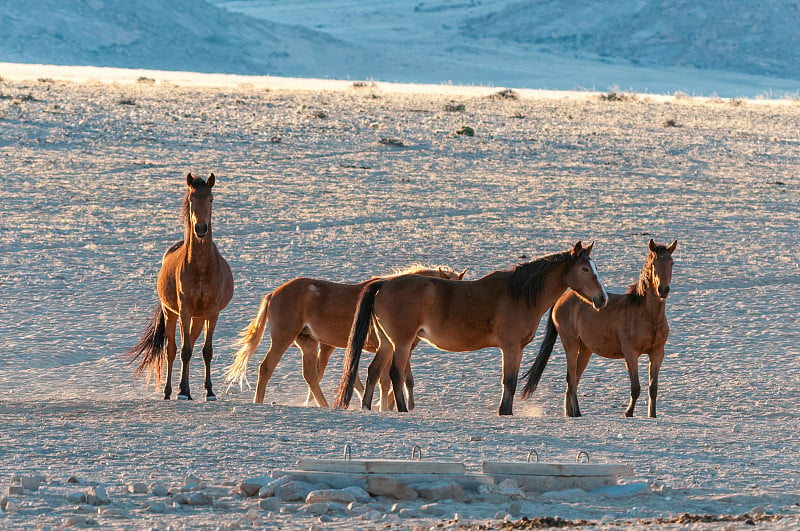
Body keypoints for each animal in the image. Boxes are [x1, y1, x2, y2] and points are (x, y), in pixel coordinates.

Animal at [127, 172, 234, 402]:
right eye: (191, 200)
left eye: (211, 199)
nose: (201, 229)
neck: (201, 267)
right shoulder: (184, 309)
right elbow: (183, 351)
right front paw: (183, 393)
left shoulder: (212, 312)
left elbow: (206, 351)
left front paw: (209, 391)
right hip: (172, 313)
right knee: (173, 350)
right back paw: (172, 391)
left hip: (198, 317)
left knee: (191, 344)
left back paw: (185, 388)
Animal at [222, 264, 466, 410]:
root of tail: (275, 293)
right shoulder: (396, 346)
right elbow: (388, 379)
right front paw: (386, 406)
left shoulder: (397, 347)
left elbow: (400, 378)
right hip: (283, 339)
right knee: (266, 368)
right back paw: (259, 401)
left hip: (308, 343)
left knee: (311, 375)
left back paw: (324, 404)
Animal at [332, 243, 608, 418]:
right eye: (585, 269)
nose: (602, 299)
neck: (519, 294)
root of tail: (385, 283)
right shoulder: (509, 347)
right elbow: (509, 380)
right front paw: (504, 411)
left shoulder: (517, 348)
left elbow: (512, 380)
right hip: (402, 342)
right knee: (394, 373)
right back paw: (401, 408)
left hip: (388, 343)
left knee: (373, 371)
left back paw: (367, 407)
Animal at [520, 239, 680, 418]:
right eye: (654, 264)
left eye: (671, 263)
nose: (663, 290)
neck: (648, 316)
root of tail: (562, 298)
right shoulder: (630, 354)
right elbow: (636, 387)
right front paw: (628, 413)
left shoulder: (657, 354)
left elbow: (653, 388)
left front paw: (652, 415)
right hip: (571, 344)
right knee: (571, 379)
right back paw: (577, 412)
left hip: (585, 350)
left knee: (574, 379)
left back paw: (571, 412)